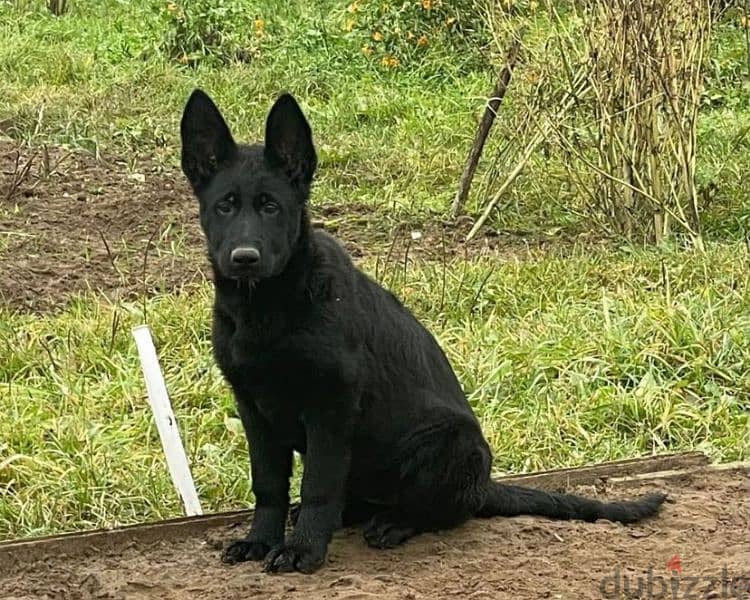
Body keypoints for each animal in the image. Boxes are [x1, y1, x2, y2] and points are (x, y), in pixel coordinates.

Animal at [182, 88, 668, 572]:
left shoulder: (331, 407)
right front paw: (261, 540)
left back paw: (394, 523)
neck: (269, 305)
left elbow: (318, 485)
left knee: (442, 511)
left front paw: (303, 549)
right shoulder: (253, 408)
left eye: (272, 207)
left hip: (452, 442)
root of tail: (485, 484)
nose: (244, 258)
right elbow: (268, 486)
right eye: (224, 205)